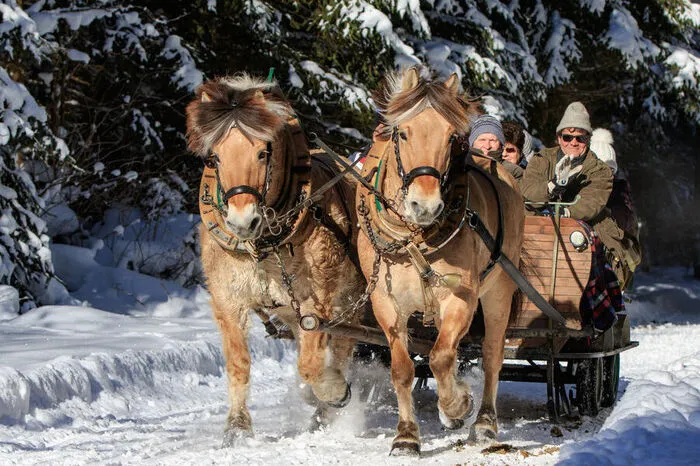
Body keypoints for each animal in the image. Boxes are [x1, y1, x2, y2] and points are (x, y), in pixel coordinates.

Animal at [186, 74, 364, 445]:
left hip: (352, 301)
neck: (263, 246)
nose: (242, 222)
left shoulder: (316, 304)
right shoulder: (228, 300)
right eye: (215, 158)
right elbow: (238, 363)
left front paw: (334, 391)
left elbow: (311, 365)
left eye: (263, 152)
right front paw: (237, 426)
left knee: (341, 349)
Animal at [356, 68, 525, 455]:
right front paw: (406, 436)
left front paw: (456, 406)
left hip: (499, 291)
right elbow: (403, 369)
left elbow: (441, 357)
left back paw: (485, 422)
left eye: (451, 137)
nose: (426, 205)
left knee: (492, 355)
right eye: (403, 132)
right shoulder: (386, 302)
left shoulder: (461, 297)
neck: (415, 238)